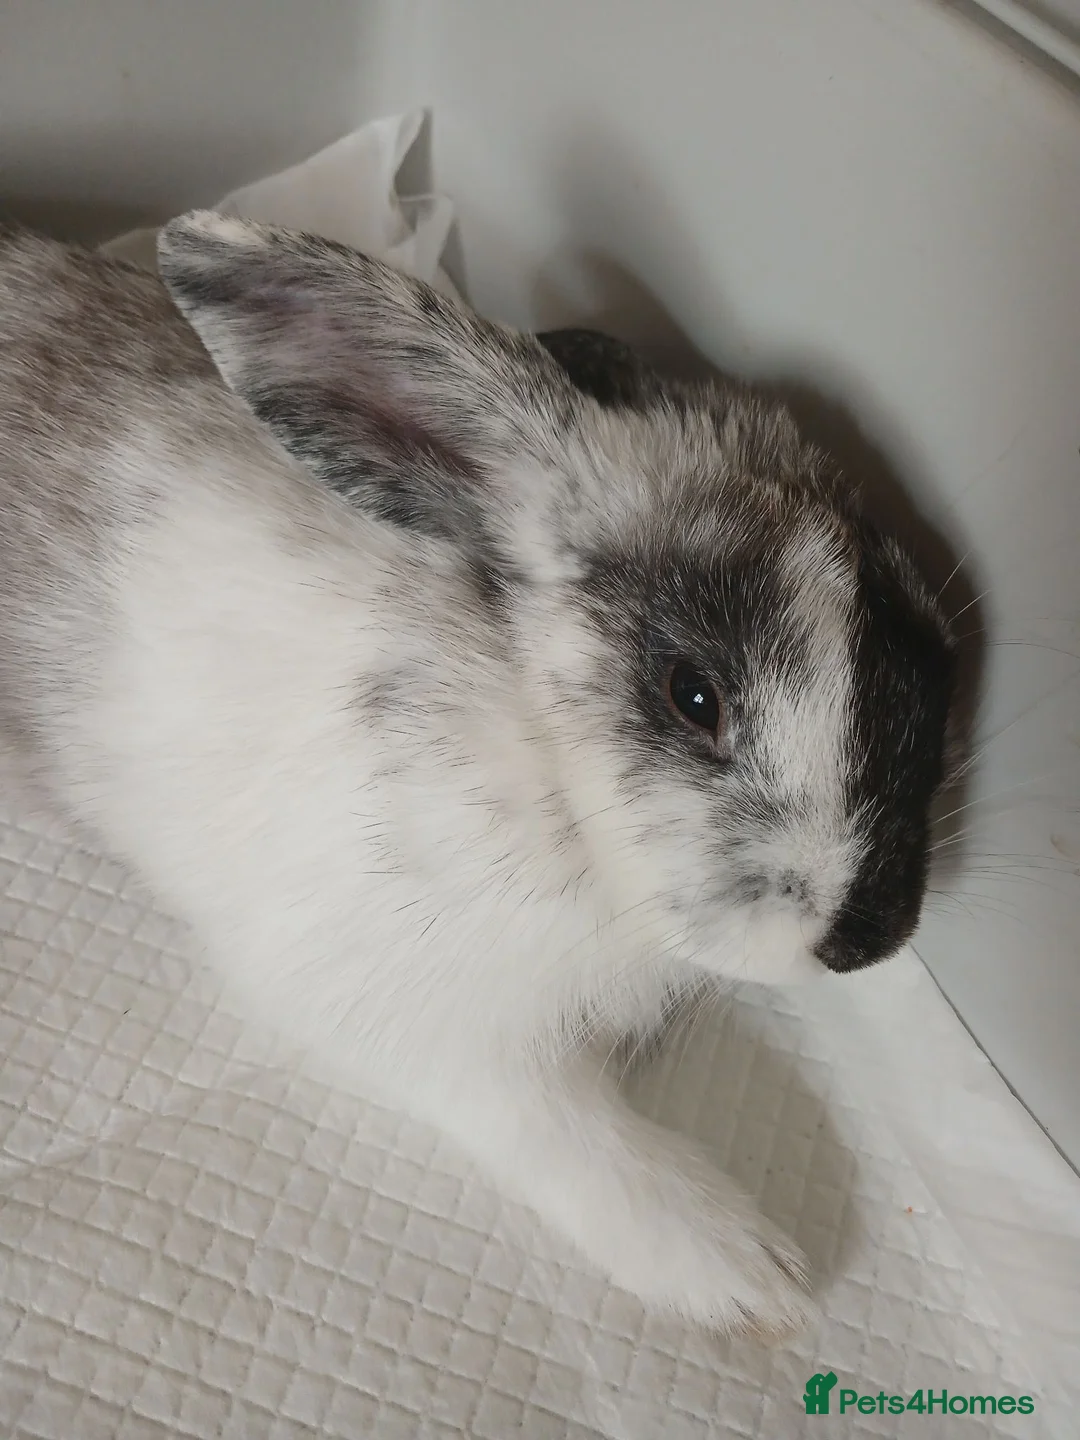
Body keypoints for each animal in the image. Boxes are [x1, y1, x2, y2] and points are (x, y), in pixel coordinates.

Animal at [0, 214, 956, 1338]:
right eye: (693, 695)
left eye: (937, 667)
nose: (867, 938)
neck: (545, 760)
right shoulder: (420, 1026)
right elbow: (570, 1134)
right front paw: (749, 1273)